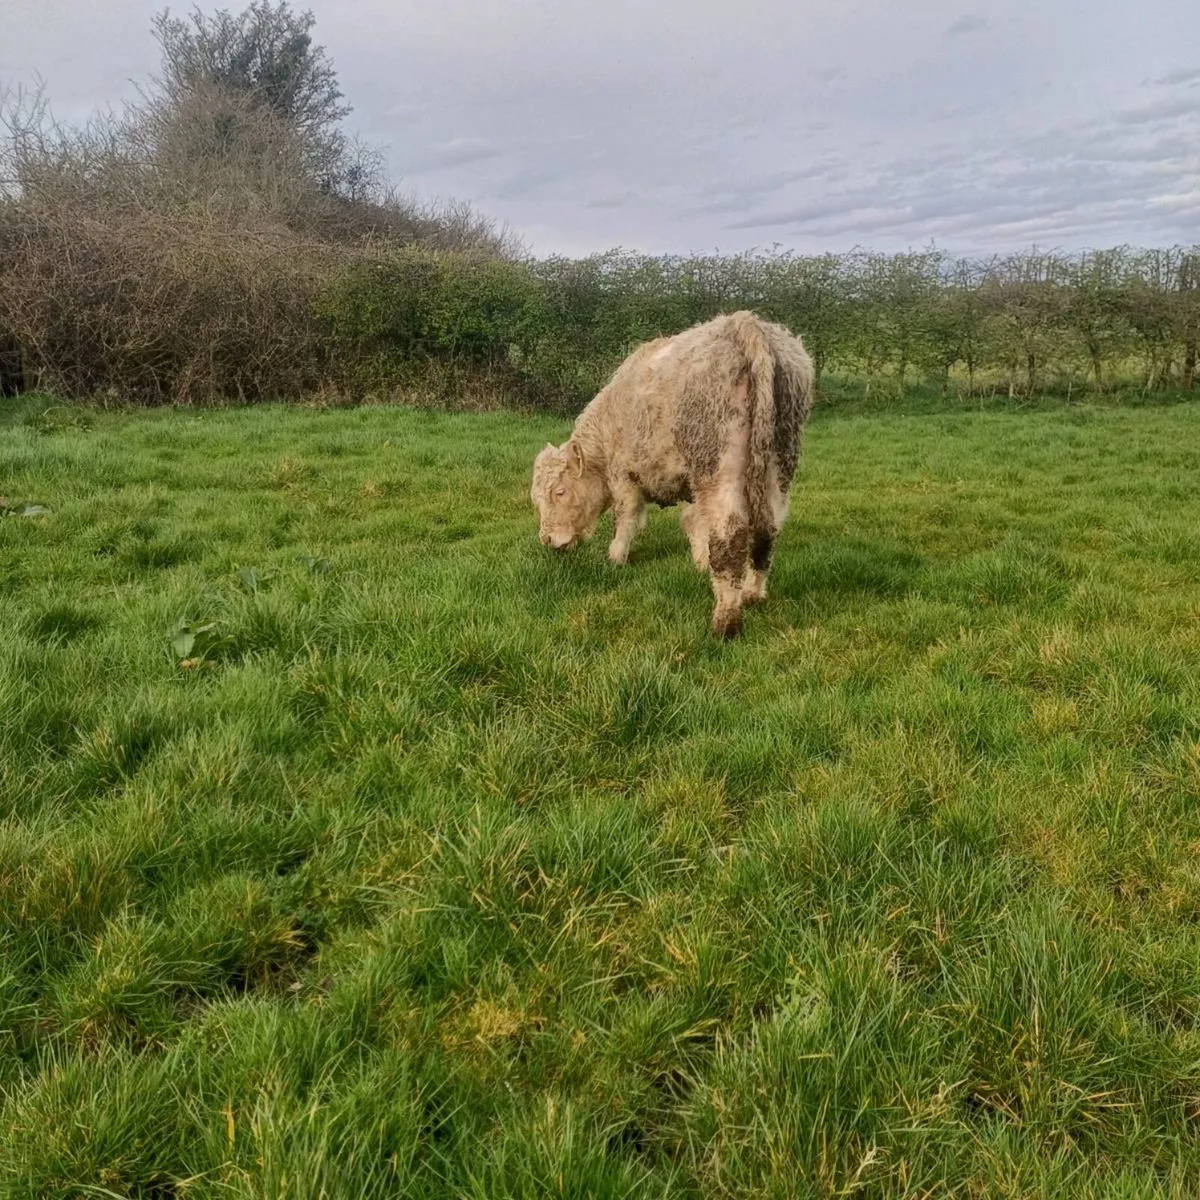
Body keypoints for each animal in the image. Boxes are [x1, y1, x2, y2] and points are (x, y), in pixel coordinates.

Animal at [531, 310, 815, 638]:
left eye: (560, 491)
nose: (547, 539)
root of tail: (744, 324)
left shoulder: (623, 476)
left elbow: (626, 518)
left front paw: (615, 558)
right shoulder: (691, 487)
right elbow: (694, 523)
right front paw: (701, 562)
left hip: (720, 470)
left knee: (730, 539)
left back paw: (724, 624)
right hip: (779, 467)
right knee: (767, 533)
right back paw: (753, 595)